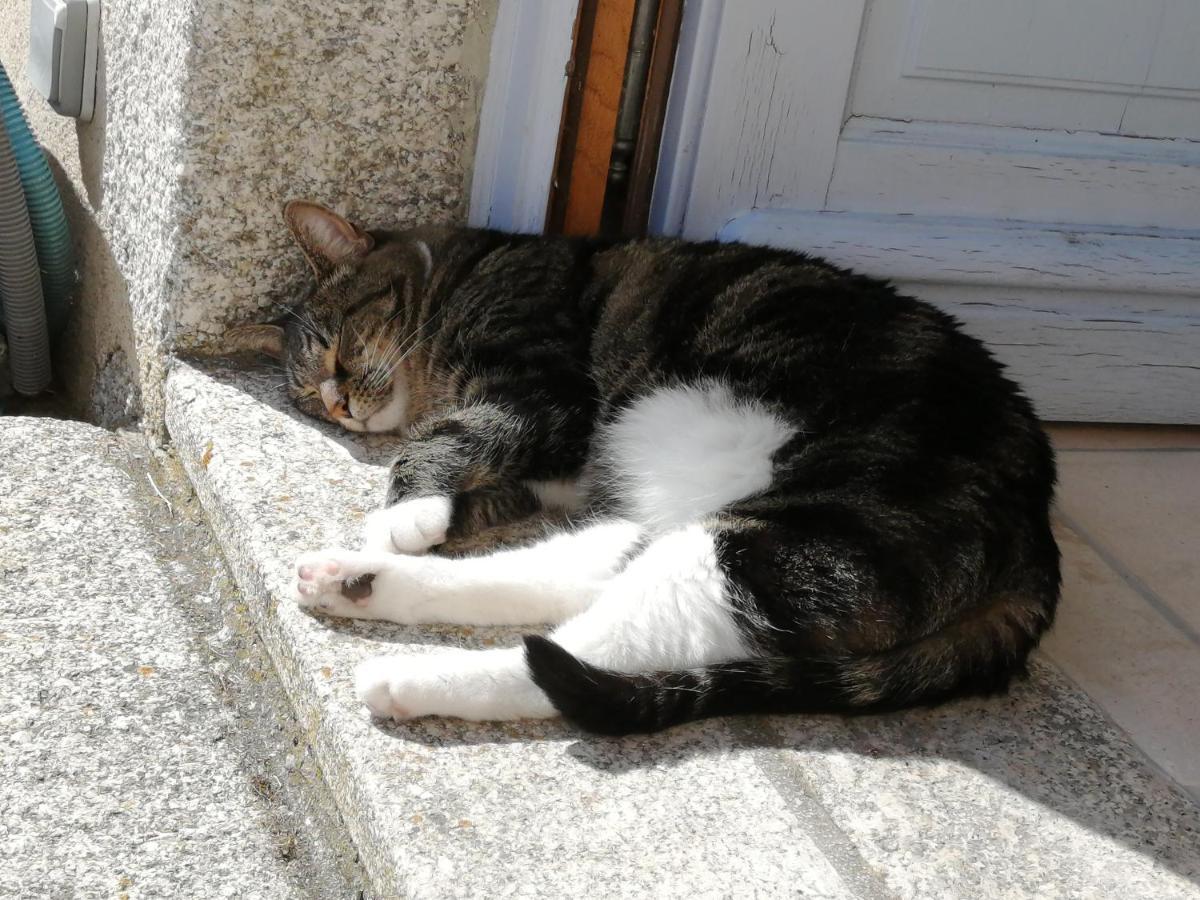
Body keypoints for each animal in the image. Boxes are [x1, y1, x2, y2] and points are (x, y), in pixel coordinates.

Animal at [231, 200, 1060, 734]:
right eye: (305, 396)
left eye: (336, 348)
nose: (337, 405)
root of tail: (1038, 537)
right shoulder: (556, 467)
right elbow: (490, 487)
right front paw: (424, 521)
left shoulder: (544, 390)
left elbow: (452, 437)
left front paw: (406, 507)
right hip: (688, 527)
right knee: (562, 586)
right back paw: (353, 581)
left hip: (778, 544)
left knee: (578, 655)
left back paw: (404, 676)